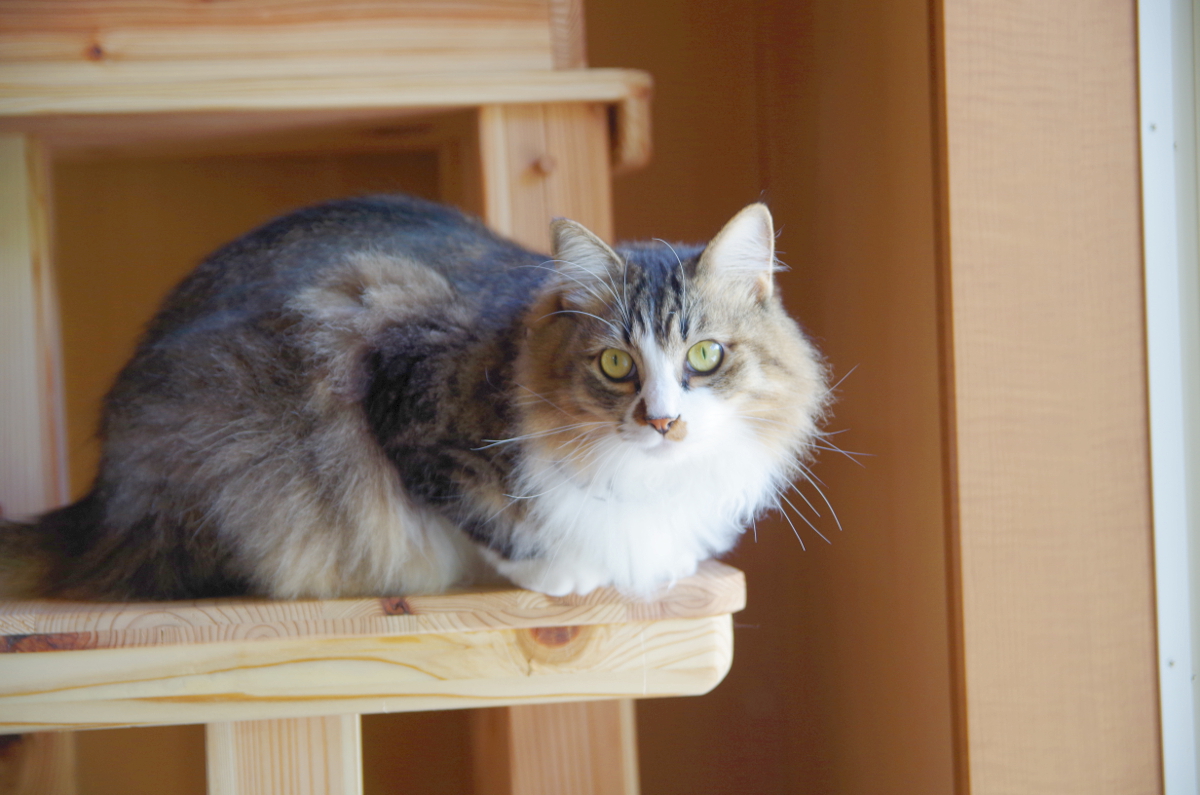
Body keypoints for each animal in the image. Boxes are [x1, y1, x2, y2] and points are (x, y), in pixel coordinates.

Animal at [0, 195, 825, 600]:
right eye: (617, 363)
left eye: (705, 356)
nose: (663, 421)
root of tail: (98, 505)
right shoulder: (400, 379)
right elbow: (481, 516)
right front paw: (557, 571)